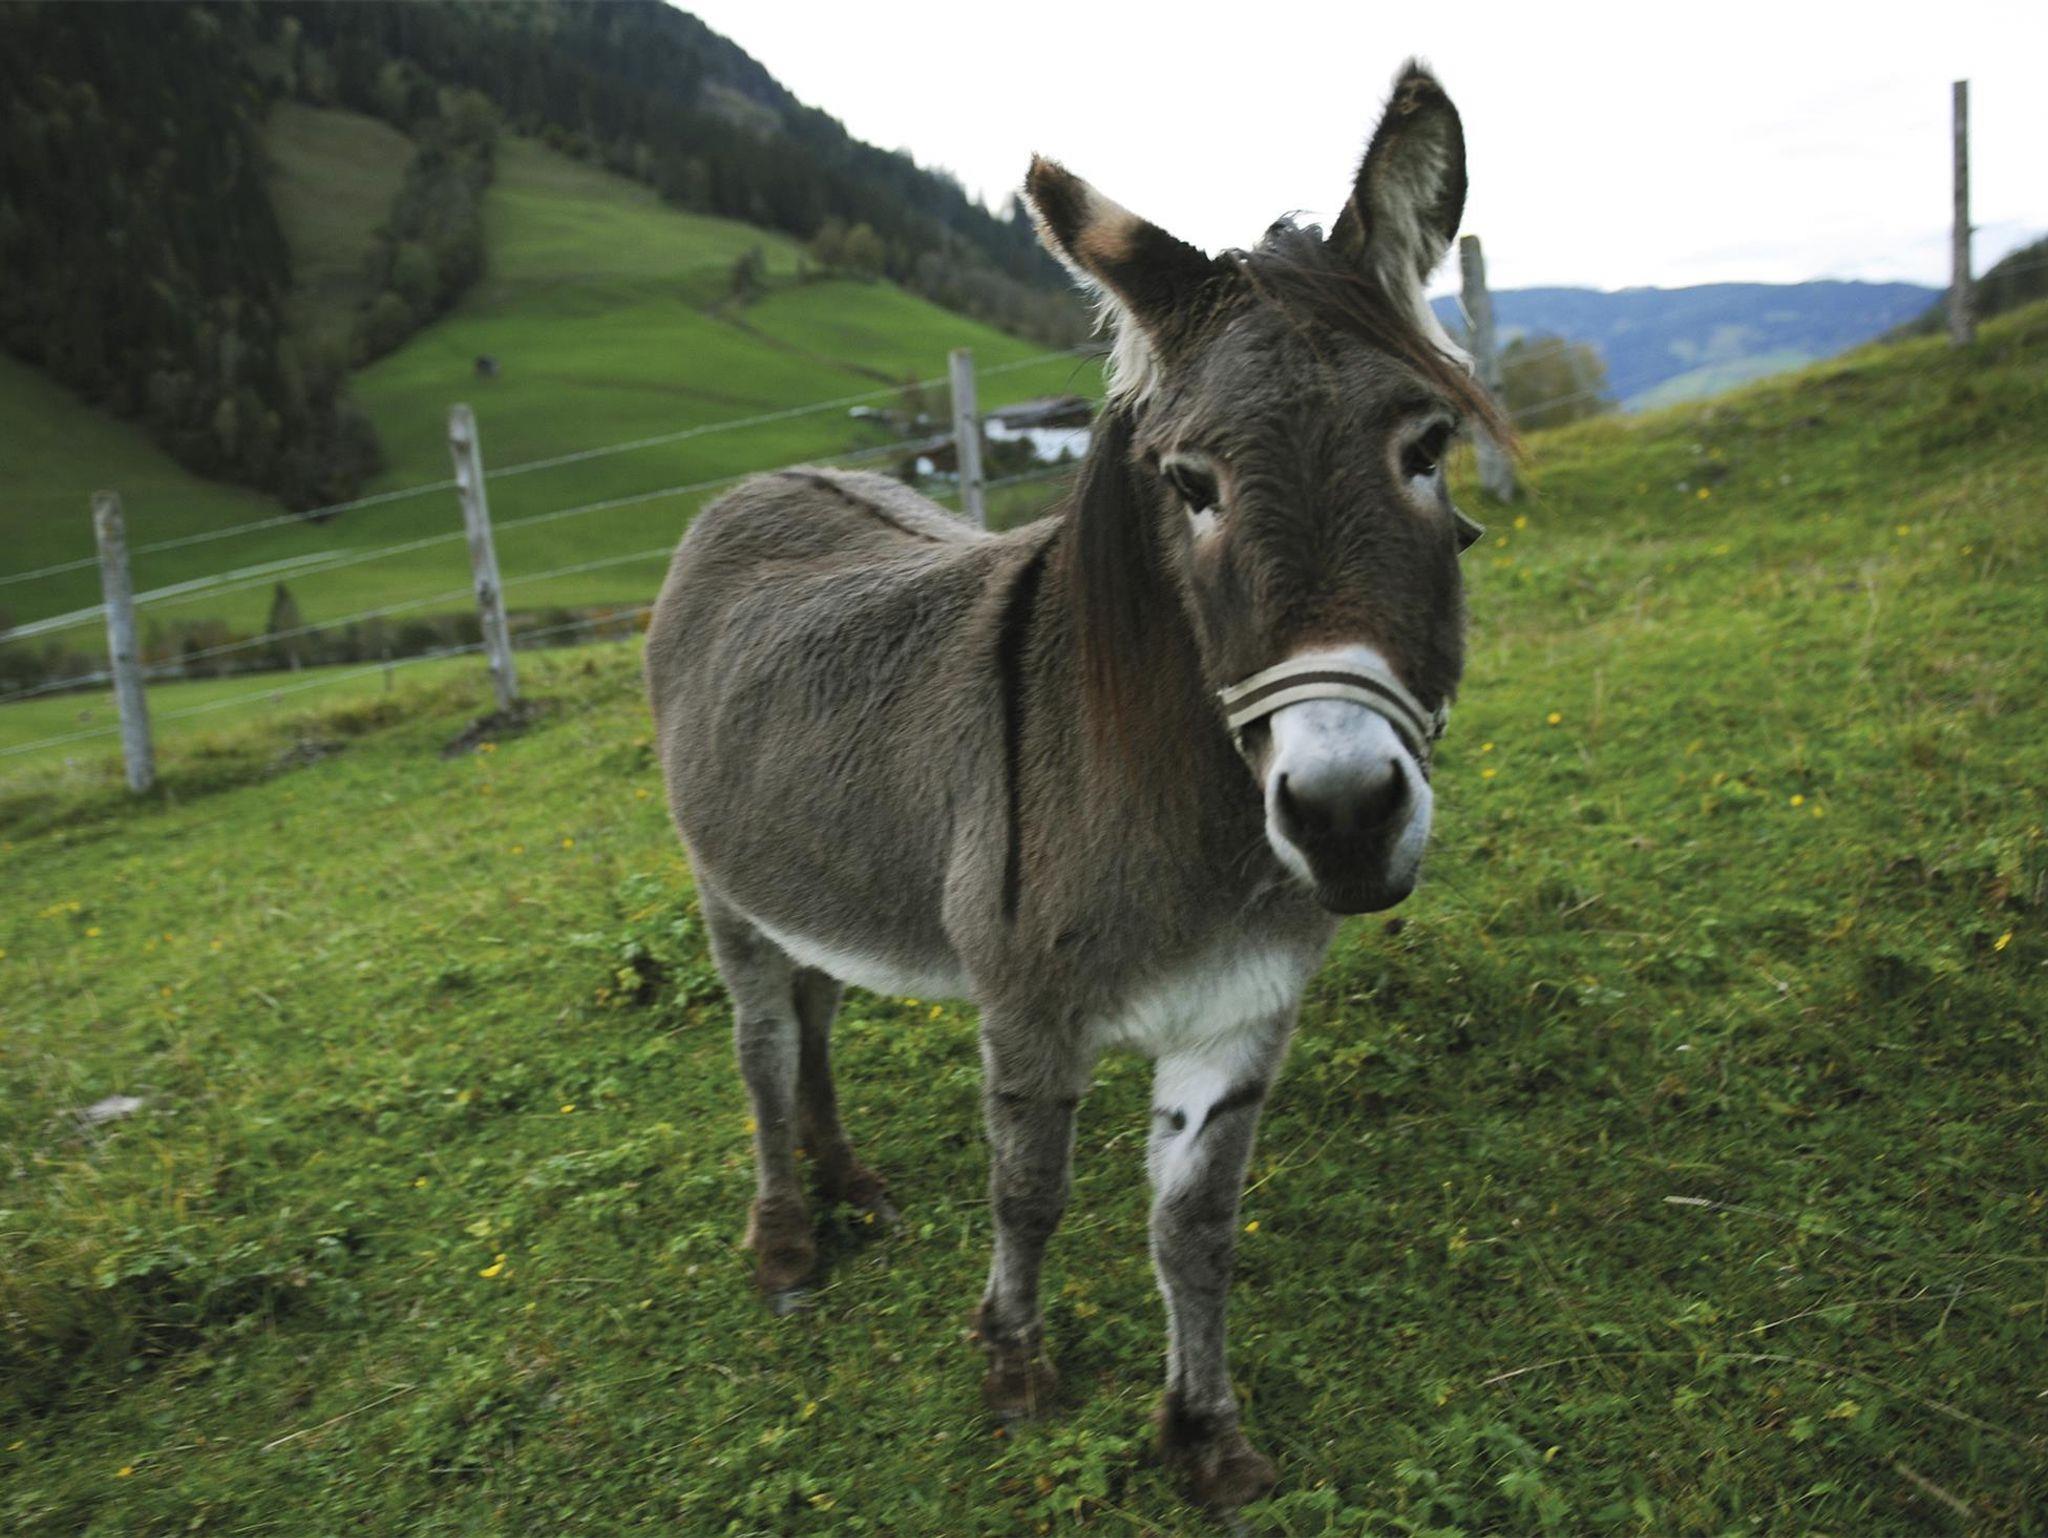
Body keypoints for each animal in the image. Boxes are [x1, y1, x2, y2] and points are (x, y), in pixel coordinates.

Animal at [645, 62, 1500, 1510]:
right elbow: (1028, 1191)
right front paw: (1014, 1369)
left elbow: (1196, 1225)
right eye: (1191, 483)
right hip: (726, 887)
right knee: (761, 1042)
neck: (1192, 826)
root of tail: (758, 482)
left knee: (813, 1014)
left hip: (816, 868)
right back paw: (786, 1239)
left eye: (1427, 447)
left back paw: (847, 1180)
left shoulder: (1239, 1019)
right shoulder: (1027, 1009)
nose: (1341, 816)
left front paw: (1203, 1432)